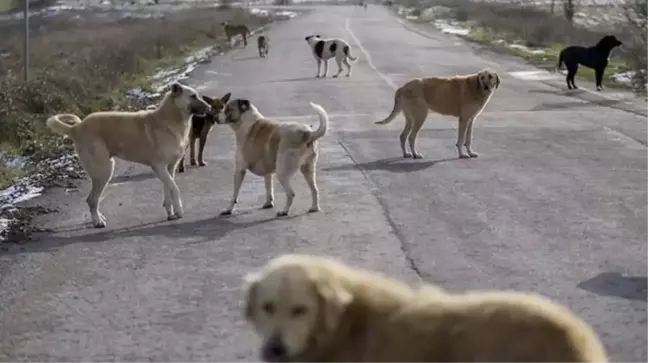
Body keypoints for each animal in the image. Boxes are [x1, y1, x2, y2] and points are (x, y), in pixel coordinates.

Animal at [45, 84, 210, 229]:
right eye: (193, 96)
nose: (209, 108)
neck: (170, 119)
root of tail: (76, 128)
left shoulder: (169, 168)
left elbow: (168, 189)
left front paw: (171, 212)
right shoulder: (159, 166)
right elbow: (174, 188)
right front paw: (179, 211)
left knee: (93, 200)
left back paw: (99, 217)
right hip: (104, 171)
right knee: (91, 200)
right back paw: (97, 221)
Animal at [374, 68, 502, 159]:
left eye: (490, 77)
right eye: (482, 78)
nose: (485, 87)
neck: (476, 87)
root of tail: (402, 87)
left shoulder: (471, 120)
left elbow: (468, 139)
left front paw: (470, 153)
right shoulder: (464, 119)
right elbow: (461, 140)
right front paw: (462, 154)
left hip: (410, 118)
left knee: (403, 136)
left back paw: (406, 154)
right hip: (420, 117)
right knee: (411, 137)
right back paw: (415, 154)